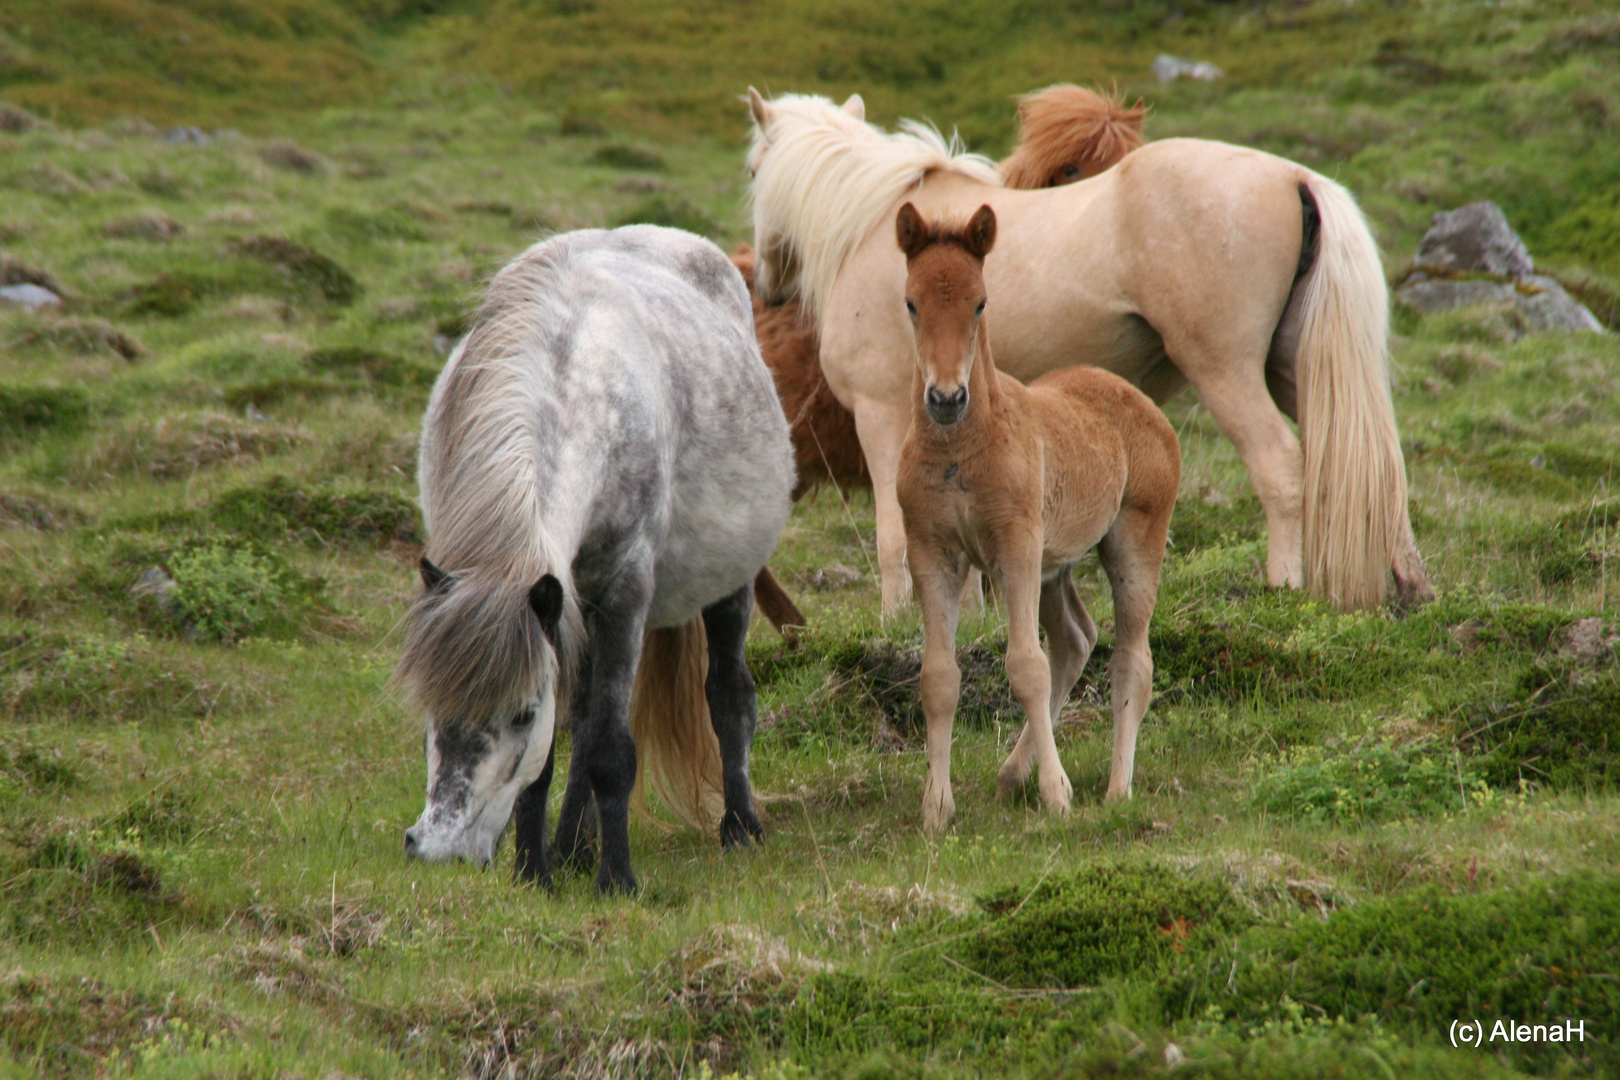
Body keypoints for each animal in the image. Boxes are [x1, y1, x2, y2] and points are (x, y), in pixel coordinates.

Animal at [894, 202, 1185, 829]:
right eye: (910, 302)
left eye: (981, 302)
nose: (946, 398)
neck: (958, 450)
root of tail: (1136, 397)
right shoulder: (931, 552)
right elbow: (938, 677)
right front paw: (936, 809)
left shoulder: (1015, 543)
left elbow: (1025, 665)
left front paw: (1057, 795)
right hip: (1054, 566)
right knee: (1075, 641)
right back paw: (1011, 774)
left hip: (1132, 540)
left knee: (1131, 660)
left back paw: (1116, 790)